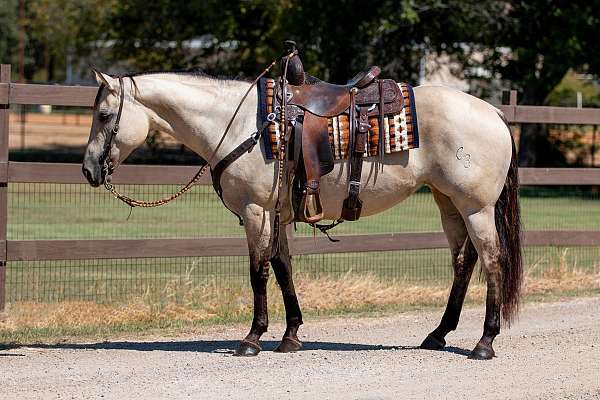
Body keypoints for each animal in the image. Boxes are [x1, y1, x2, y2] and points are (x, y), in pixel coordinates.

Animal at [82, 52, 524, 360]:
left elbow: (258, 272)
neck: (240, 125)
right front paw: (290, 335)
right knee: (464, 262)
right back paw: (438, 334)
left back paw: (484, 342)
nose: (88, 169)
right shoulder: (277, 213)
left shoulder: (256, 211)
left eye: (103, 115)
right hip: (447, 202)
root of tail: (494, 112)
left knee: (493, 260)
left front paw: (252, 338)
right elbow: (283, 269)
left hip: (475, 207)